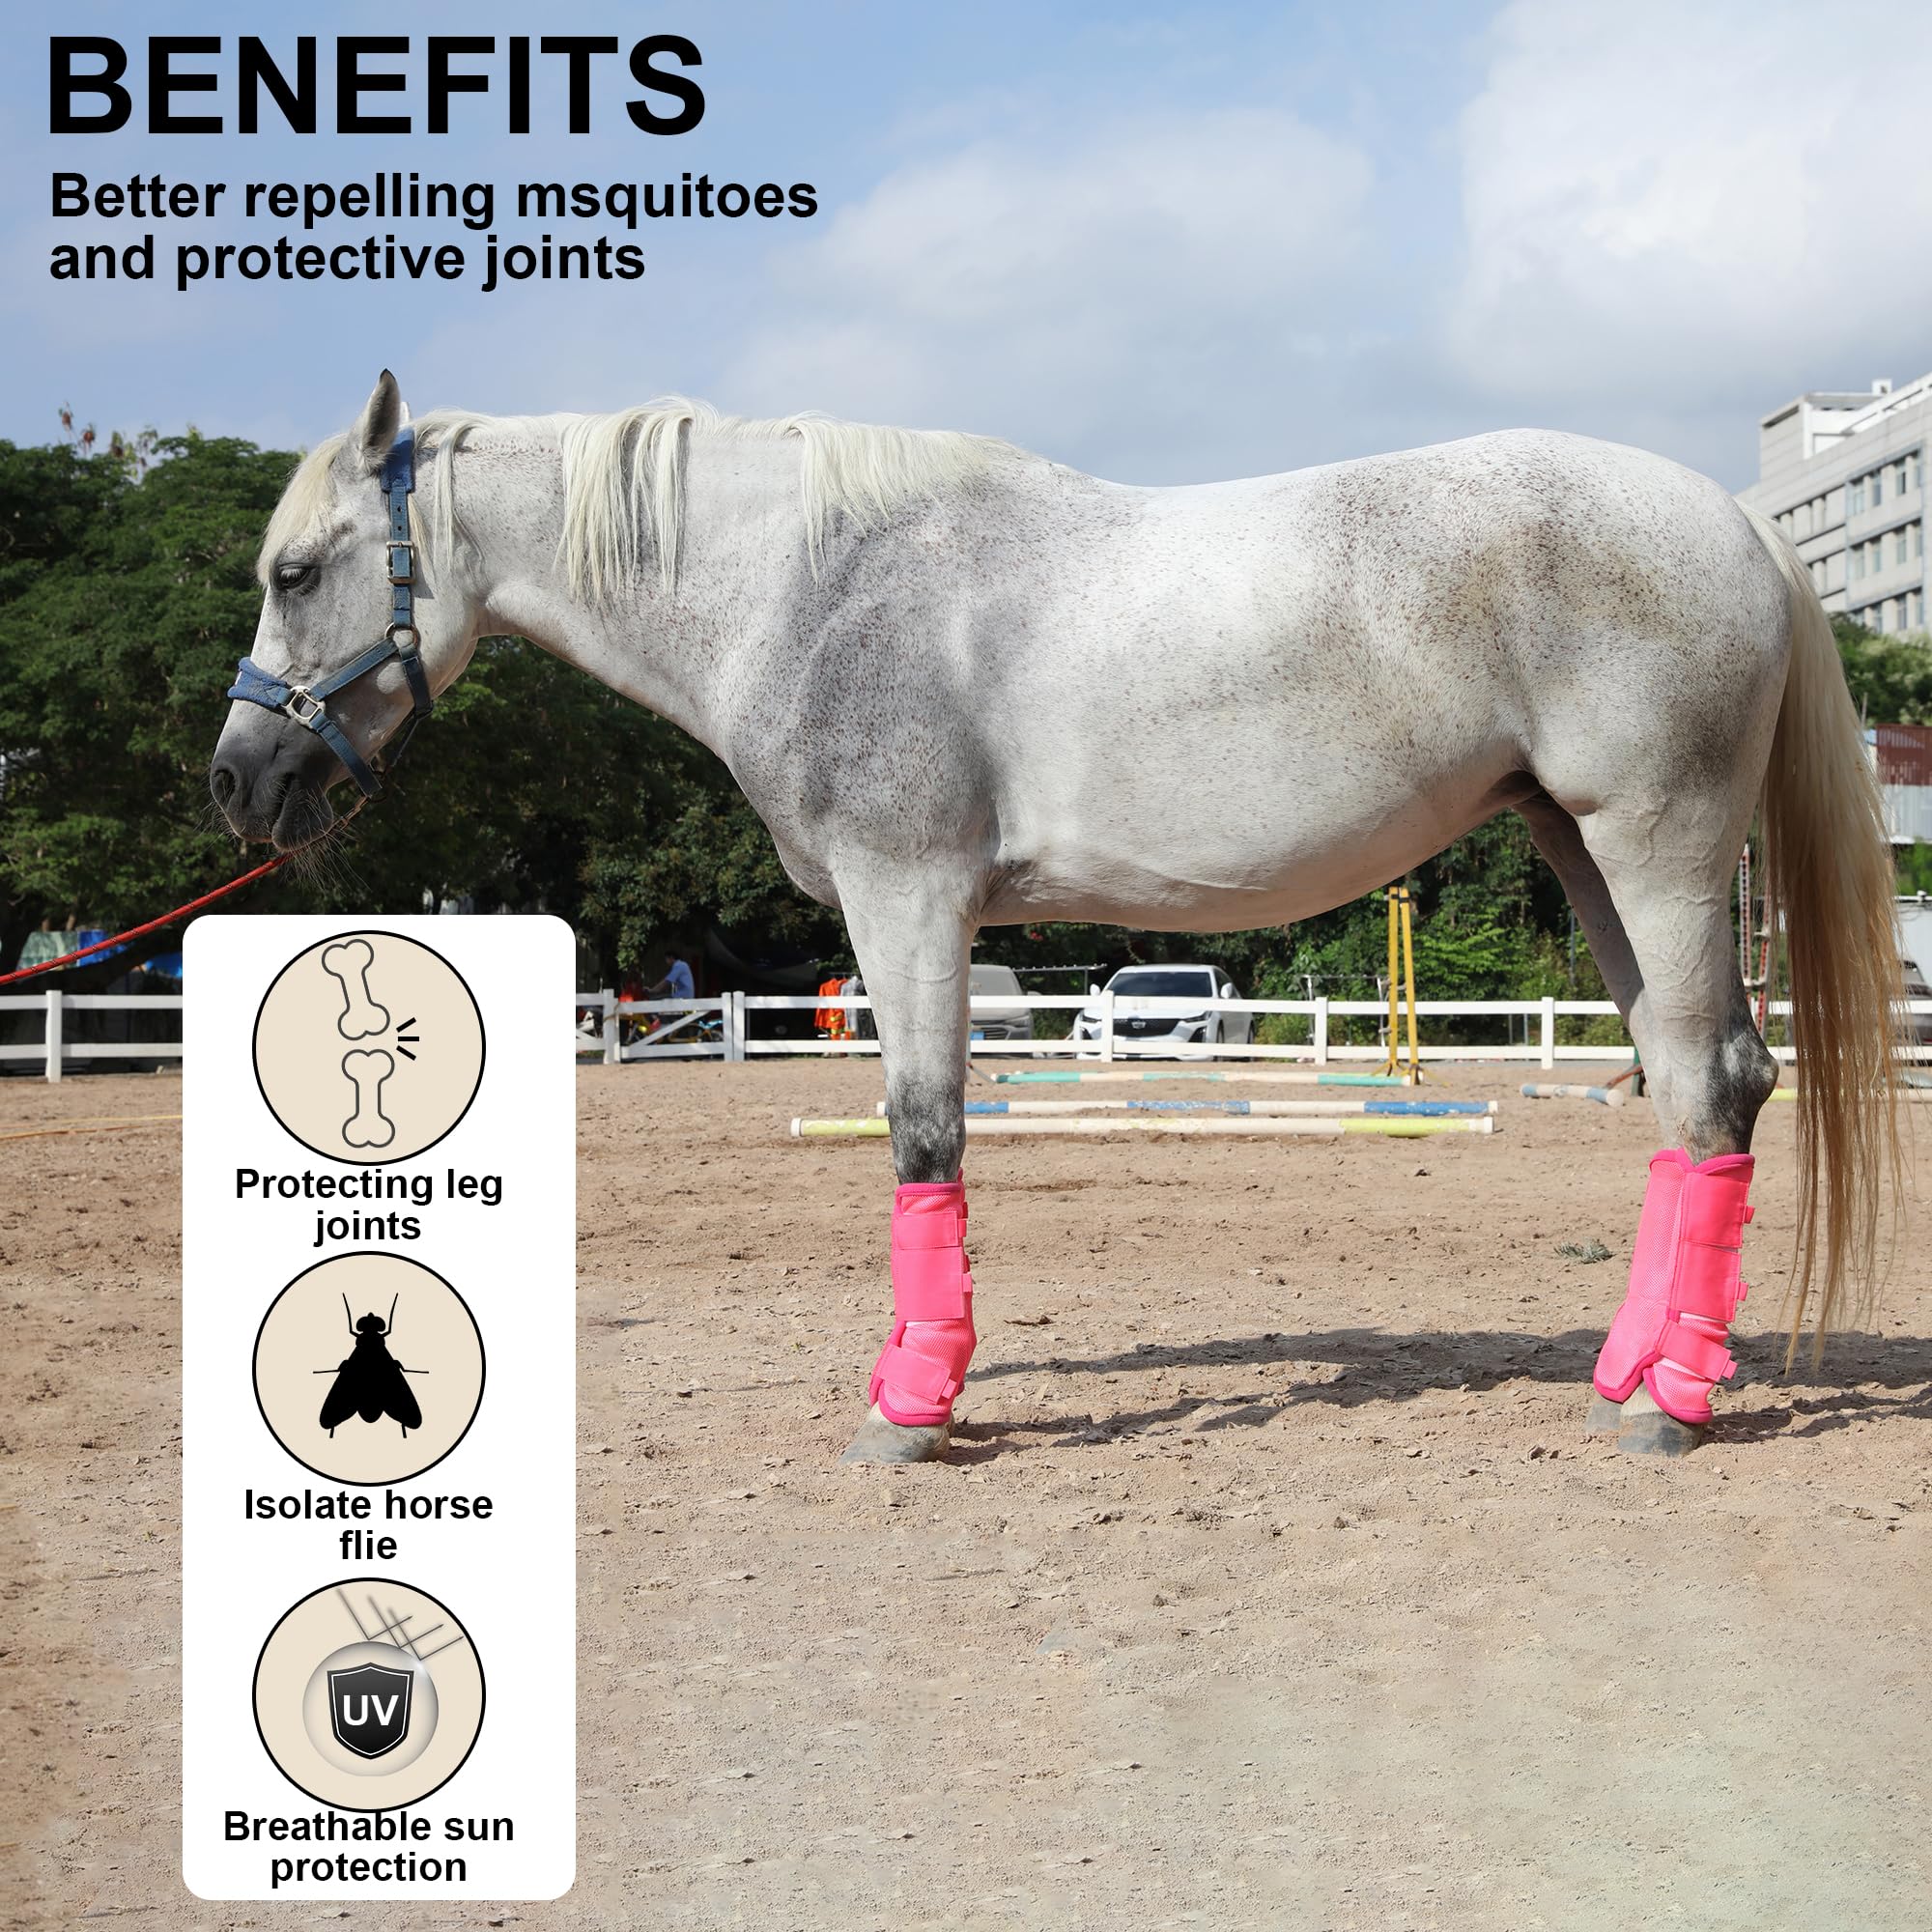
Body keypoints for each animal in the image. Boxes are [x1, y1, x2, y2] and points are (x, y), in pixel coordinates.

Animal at [210, 371, 1903, 1463]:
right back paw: (1630, 1371)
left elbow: (924, 1137)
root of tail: (1739, 522)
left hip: (1657, 847)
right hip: (1580, 850)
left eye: (295, 570)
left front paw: (912, 1409)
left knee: (1712, 1086)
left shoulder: (909, 900)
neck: (812, 589)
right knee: (1691, 1094)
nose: (239, 782)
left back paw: (1670, 1412)